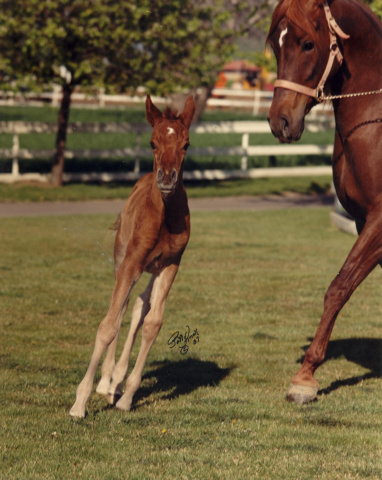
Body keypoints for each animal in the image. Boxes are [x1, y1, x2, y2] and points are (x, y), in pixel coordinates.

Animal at [69, 95, 194, 418]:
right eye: (152, 143)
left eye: (186, 144)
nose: (167, 178)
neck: (164, 219)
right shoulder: (130, 264)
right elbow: (108, 325)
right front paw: (80, 403)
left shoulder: (171, 264)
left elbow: (152, 323)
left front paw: (126, 396)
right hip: (122, 260)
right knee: (122, 307)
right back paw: (105, 383)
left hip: (150, 268)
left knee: (139, 305)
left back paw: (116, 382)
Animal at [268, 0, 380, 404]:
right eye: (276, 46)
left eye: (306, 45)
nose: (280, 121)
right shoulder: (364, 222)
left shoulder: (379, 220)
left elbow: (339, 287)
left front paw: (305, 378)